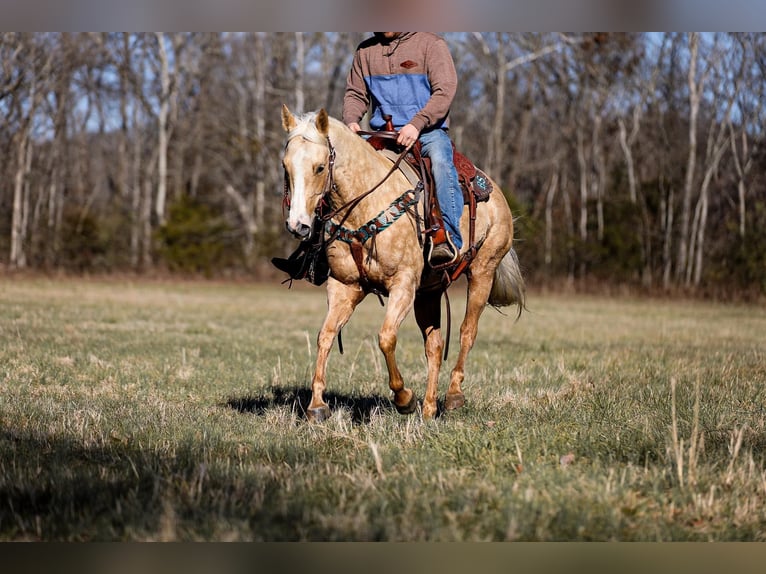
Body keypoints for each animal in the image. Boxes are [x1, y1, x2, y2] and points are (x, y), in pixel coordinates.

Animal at [282, 106, 528, 424]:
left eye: (320, 168)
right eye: (285, 166)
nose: (297, 225)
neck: (365, 206)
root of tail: (495, 191)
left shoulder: (403, 284)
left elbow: (386, 338)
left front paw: (404, 398)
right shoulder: (345, 287)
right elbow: (325, 335)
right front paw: (317, 405)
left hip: (482, 272)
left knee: (467, 332)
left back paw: (453, 395)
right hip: (429, 292)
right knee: (434, 346)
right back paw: (429, 408)